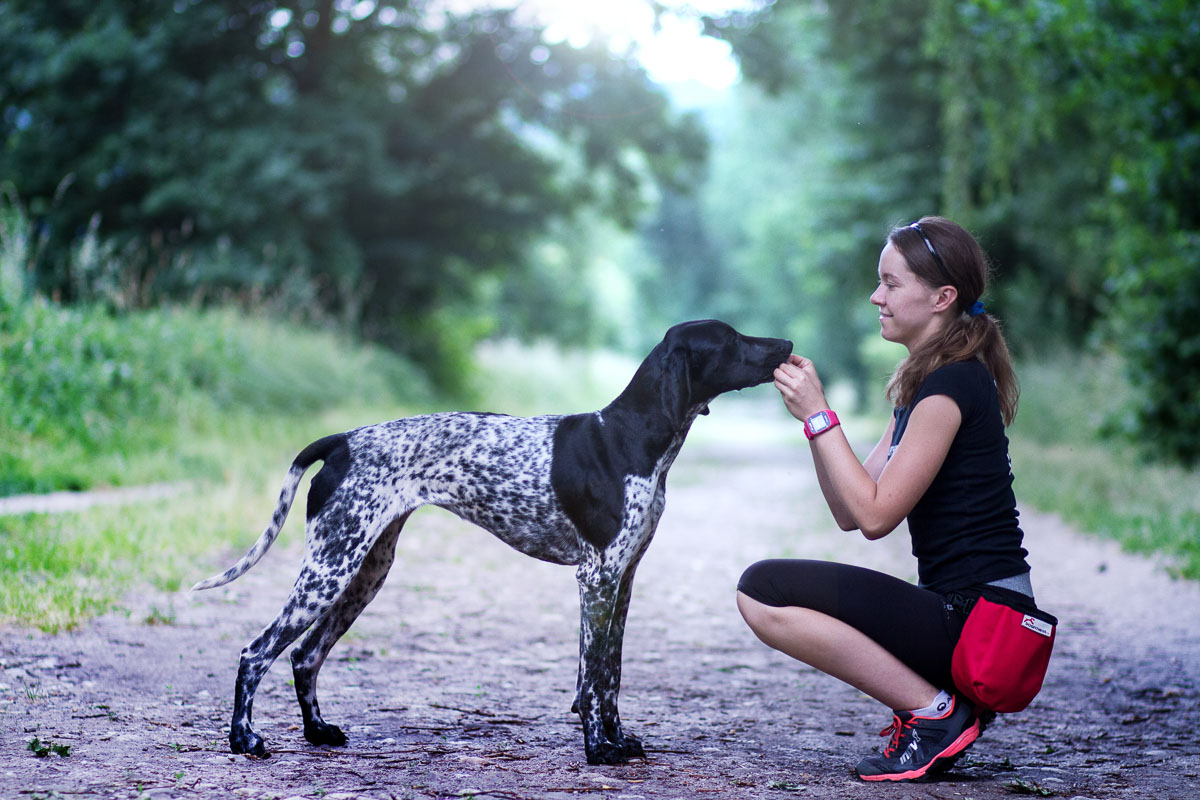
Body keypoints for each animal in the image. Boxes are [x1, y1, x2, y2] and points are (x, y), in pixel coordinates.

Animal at [194, 316, 796, 762]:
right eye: (732, 339)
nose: (787, 344)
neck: (632, 436)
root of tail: (342, 440)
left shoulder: (623, 580)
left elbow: (610, 675)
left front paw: (618, 739)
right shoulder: (597, 577)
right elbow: (594, 679)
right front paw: (599, 750)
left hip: (364, 570)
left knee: (305, 655)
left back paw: (318, 733)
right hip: (330, 569)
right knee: (256, 653)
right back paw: (243, 740)